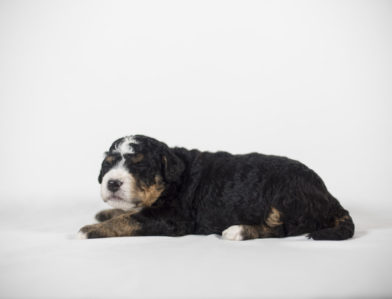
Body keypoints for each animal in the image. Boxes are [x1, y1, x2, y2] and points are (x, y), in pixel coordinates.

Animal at [78, 136, 354, 241]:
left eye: (140, 167)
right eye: (107, 164)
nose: (113, 183)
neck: (172, 179)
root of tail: (331, 199)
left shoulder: (173, 218)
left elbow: (130, 220)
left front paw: (90, 229)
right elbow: (129, 212)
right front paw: (105, 213)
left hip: (286, 193)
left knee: (282, 229)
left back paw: (237, 231)